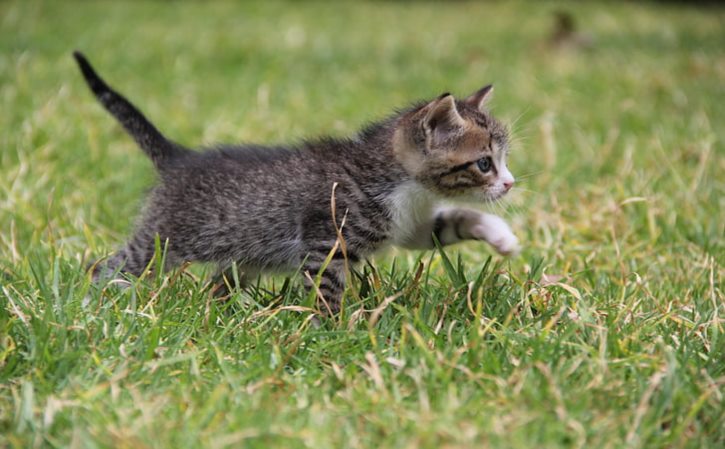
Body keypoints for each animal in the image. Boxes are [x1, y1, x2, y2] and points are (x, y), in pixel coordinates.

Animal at [73, 50, 516, 314]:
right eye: (484, 164)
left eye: (503, 160)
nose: (510, 184)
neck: (399, 183)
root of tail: (179, 158)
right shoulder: (327, 243)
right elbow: (326, 291)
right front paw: (331, 334)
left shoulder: (408, 226)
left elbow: (451, 222)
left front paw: (501, 236)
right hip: (162, 241)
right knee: (107, 266)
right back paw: (93, 303)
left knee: (219, 283)